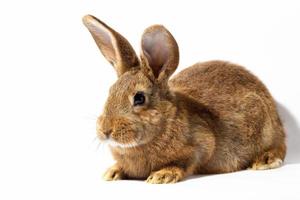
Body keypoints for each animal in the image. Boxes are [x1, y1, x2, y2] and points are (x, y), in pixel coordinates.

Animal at [82, 14, 286, 184]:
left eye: (139, 98)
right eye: (110, 91)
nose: (105, 130)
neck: (166, 120)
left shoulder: (201, 146)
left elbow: (185, 162)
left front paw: (162, 175)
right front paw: (112, 172)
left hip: (265, 128)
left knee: (280, 146)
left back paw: (265, 160)